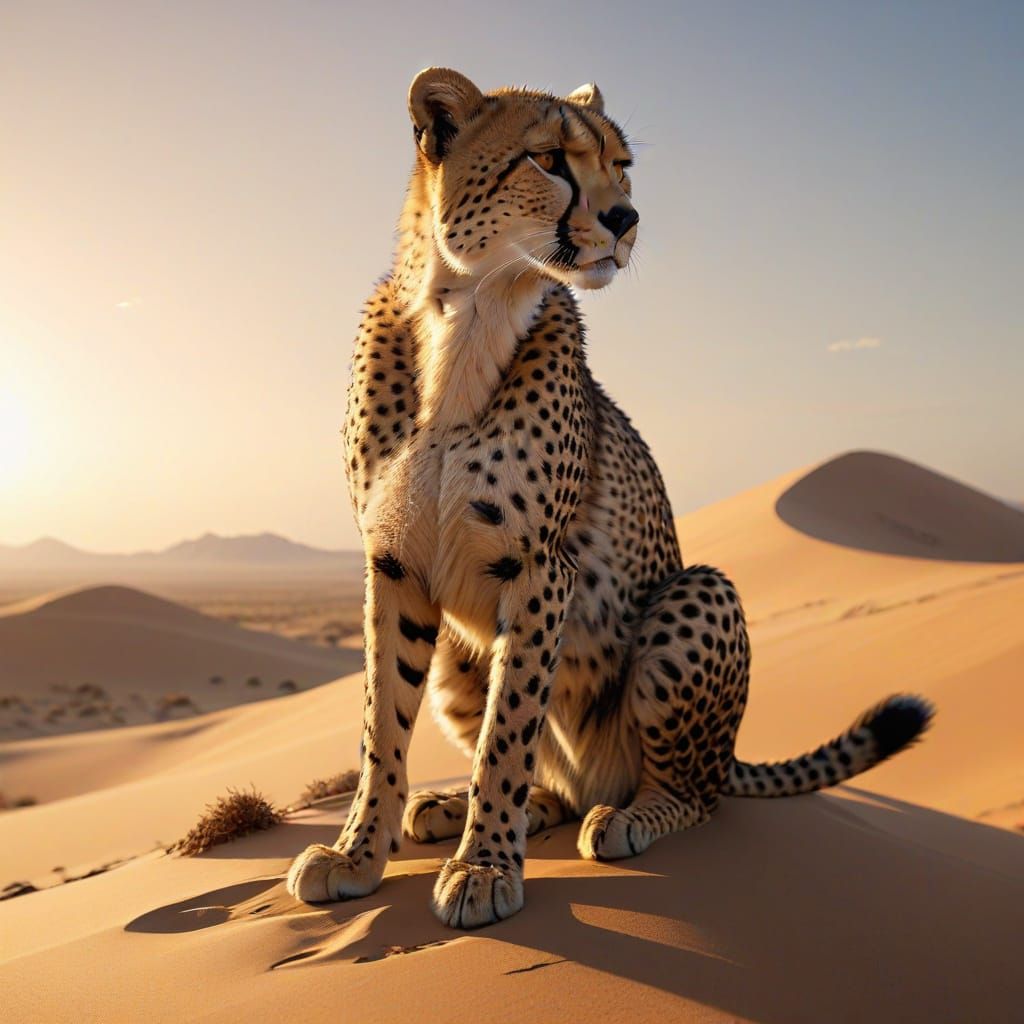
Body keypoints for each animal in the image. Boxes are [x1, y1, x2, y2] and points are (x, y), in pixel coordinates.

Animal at [286, 68, 934, 929]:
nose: (626, 219)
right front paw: (359, 854)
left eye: (621, 166)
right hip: (462, 658)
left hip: (696, 597)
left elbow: (508, 733)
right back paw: (459, 809)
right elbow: (380, 724)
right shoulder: (392, 566)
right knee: (554, 784)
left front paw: (486, 868)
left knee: (694, 793)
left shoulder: (538, 567)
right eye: (549, 159)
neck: (467, 319)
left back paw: (626, 818)